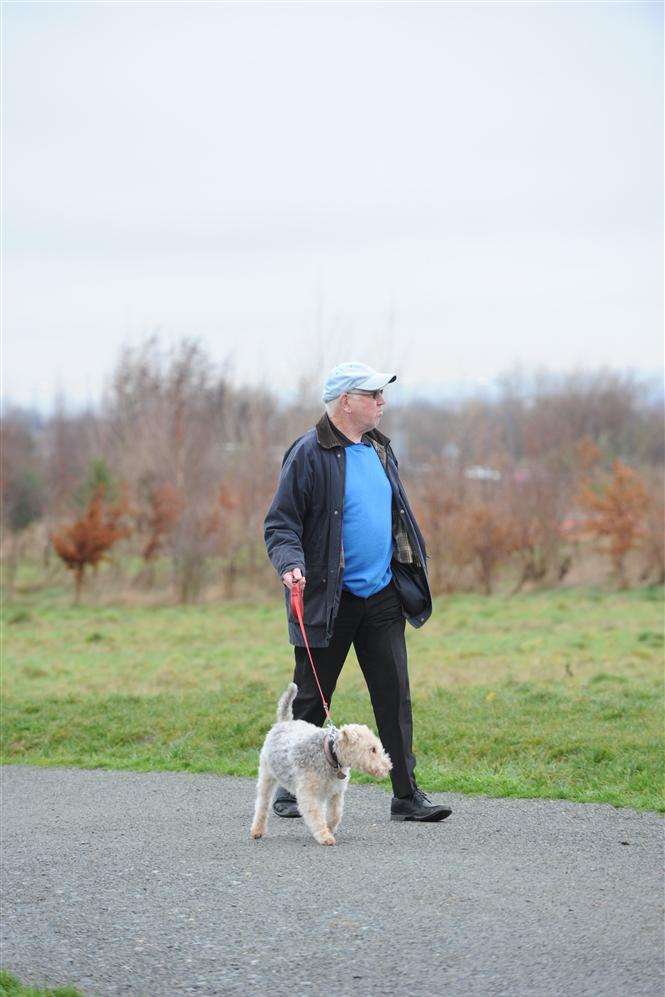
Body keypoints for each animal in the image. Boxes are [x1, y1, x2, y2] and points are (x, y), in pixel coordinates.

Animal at [252, 680, 392, 844]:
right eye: (373, 749)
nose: (388, 767)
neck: (330, 754)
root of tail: (283, 723)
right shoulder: (309, 793)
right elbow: (316, 816)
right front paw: (325, 836)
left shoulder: (335, 792)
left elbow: (335, 814)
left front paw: (330, 829)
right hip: (267, 776)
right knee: (262, 804)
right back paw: (257, 830)